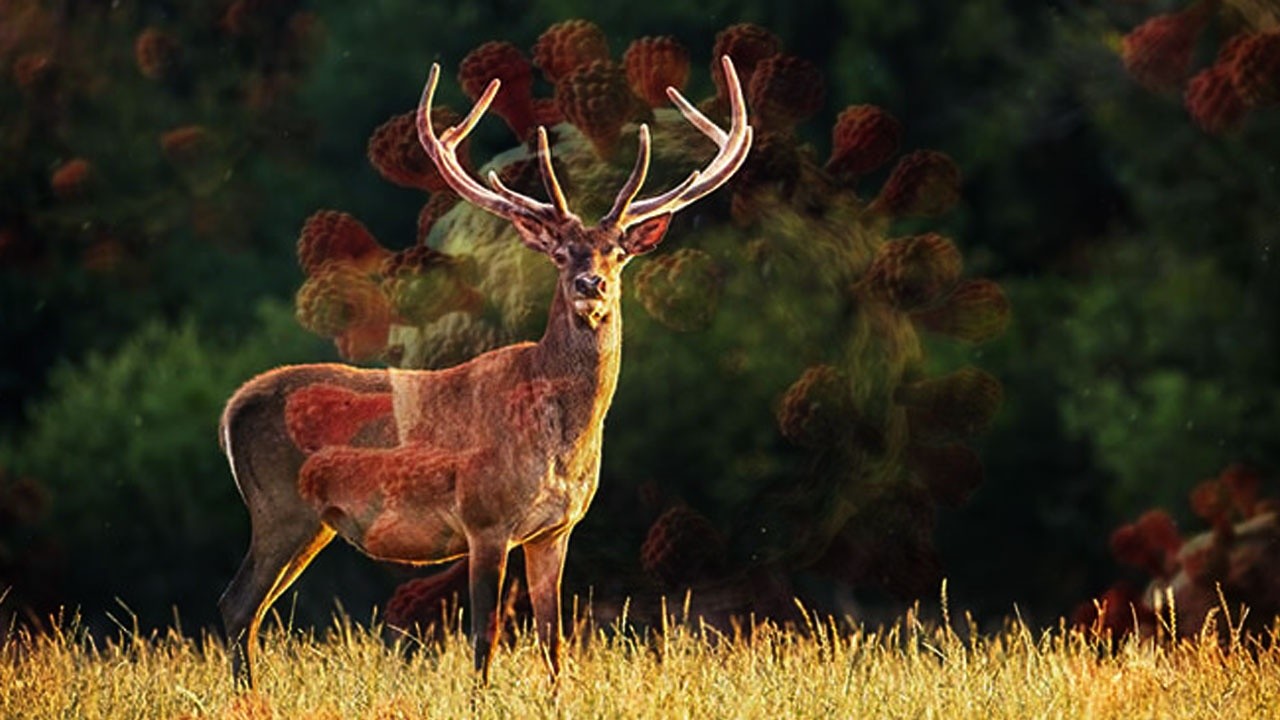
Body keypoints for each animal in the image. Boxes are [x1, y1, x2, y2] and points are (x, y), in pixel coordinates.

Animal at [216, 56, 752, 681]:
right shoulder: (484, 519)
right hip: (280, 507)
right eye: (560, 252)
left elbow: (552, 638)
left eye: (617, 251)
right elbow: (484, 636)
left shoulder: (556, 529)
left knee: (250, 610)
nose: (590, 285)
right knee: (237, 604)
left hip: (311, 521)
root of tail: (232, 408)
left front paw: (557, 694)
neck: (560, 443)